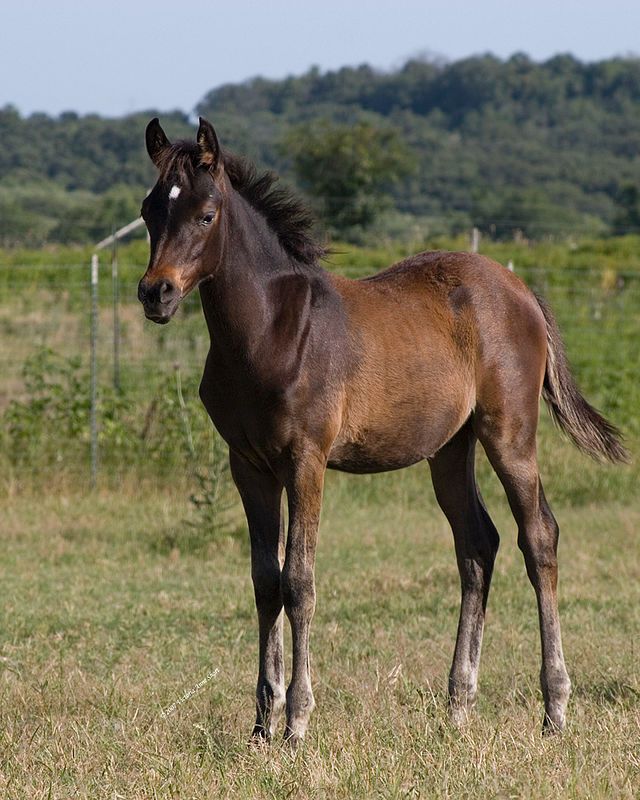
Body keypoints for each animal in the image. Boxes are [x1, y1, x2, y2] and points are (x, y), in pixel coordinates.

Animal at [137, 117, 627, 747]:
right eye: (149, 211)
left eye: (204, 214)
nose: (156, 293)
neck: (269, 330)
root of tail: (522, 292)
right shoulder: (247, 465)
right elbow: (265, 582)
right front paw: (262, 724)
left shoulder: (306, 459)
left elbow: (299, 580)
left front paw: (297, 720)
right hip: (450, 448)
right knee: (478, 545)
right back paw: (458, 707)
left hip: (509, 433)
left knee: (538, 537)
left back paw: (555, 709)